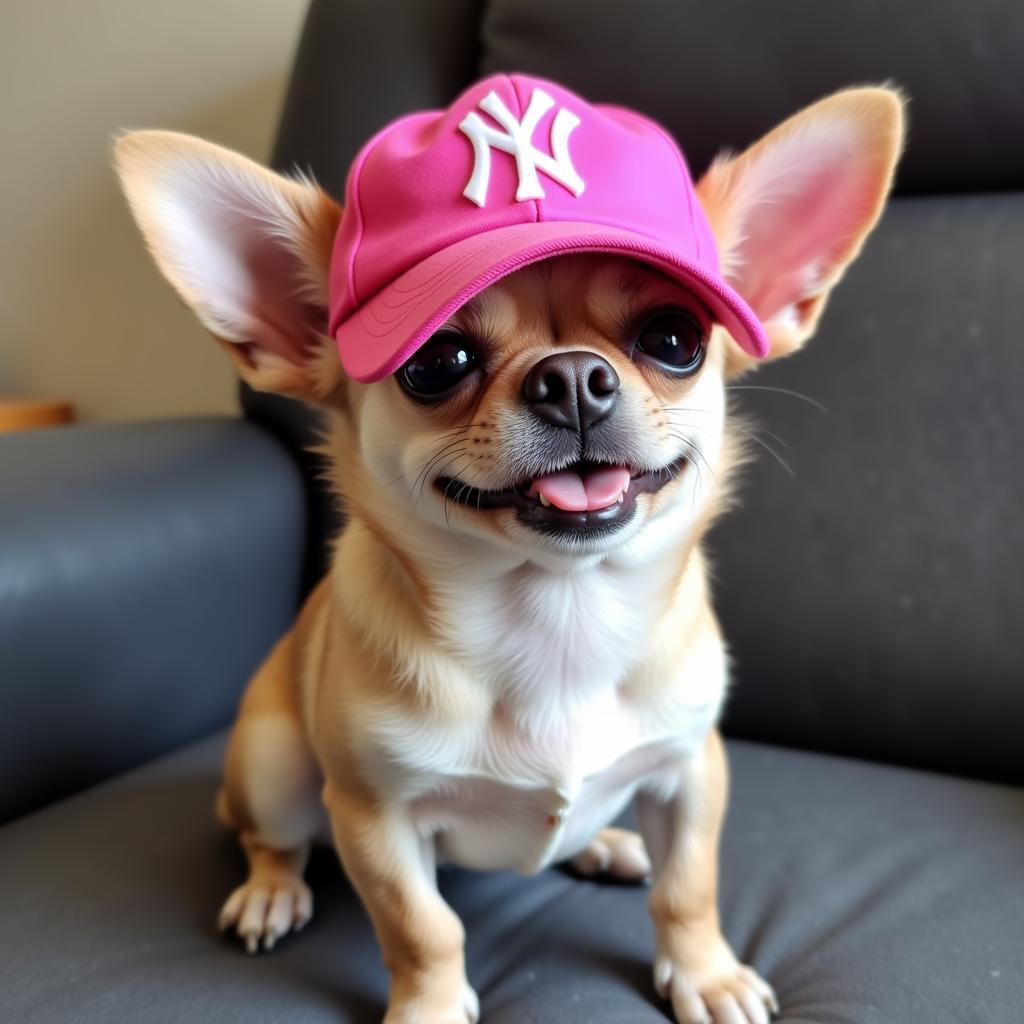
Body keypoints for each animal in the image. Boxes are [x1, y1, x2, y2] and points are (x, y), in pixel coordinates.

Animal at [116, 74, 905, 1024]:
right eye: (435, 361)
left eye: (674, 339)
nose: (571, 375)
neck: (558, 609)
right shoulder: (374, 819)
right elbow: (421, 927)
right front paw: (427, 1007)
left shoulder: (690, 771)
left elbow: (688, 887)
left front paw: (706, 974)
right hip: (271, 764)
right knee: (273, 838)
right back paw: (272, 890)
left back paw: (602, 842)